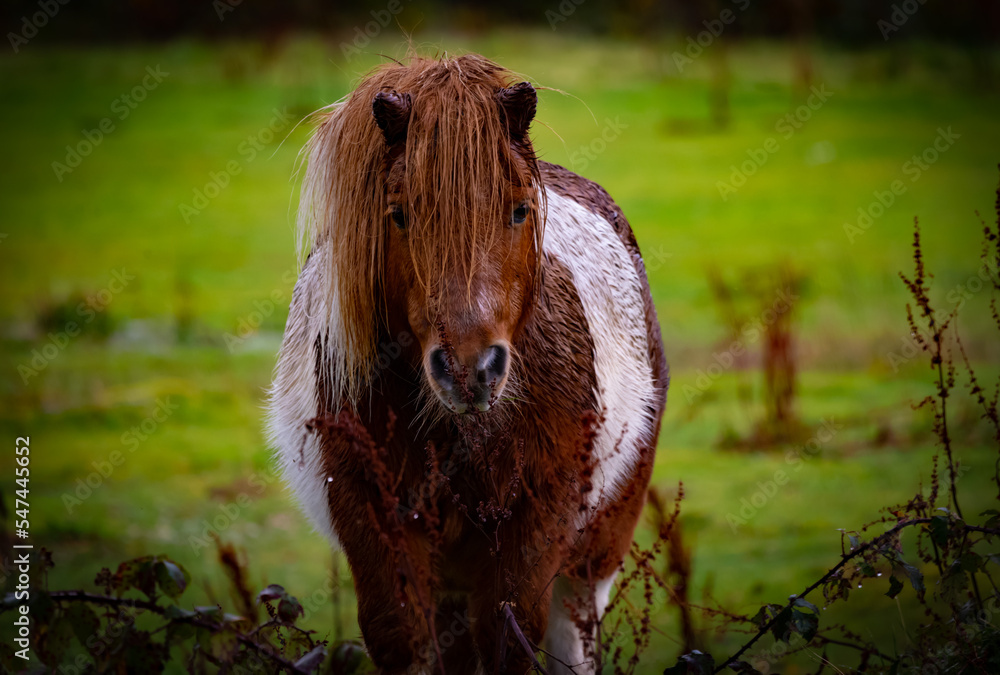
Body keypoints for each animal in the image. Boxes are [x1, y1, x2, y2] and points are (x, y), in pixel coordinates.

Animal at [267, 54, 668, 674]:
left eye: (520, 210)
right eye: (399, 215)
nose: (470, 369)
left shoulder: (534, 524)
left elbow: (509, 638)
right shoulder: (373, 517)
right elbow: (403, 636)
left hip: (592, 558)